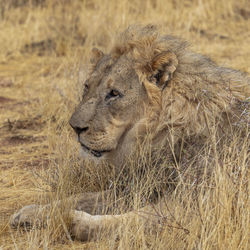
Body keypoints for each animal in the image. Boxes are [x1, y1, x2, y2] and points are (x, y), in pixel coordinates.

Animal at [10, 24, 249, 240]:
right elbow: (78, 197)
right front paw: (31, 213)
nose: (75, 127)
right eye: (87, 87)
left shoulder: (202, 204)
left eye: (114, 93)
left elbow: (137, 219)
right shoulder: (138, 187)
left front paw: (74, 221)